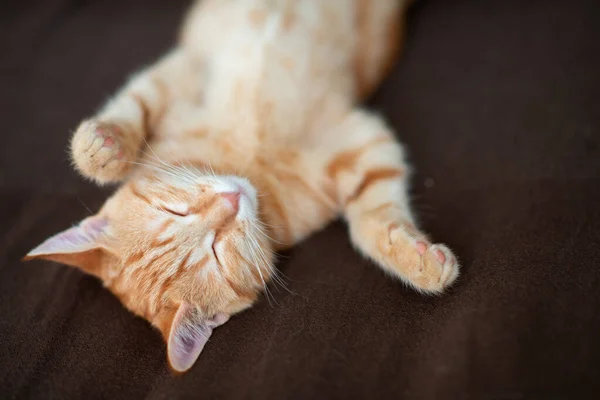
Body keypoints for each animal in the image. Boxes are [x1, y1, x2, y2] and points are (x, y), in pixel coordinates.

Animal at [24, 0, 460, 374]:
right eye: (218, 253)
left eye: (174, 210)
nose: (231, 200)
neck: (244, 162)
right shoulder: (358, 141)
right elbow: (369, 217)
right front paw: (416, 259)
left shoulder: (183, 69)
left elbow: (134, 103)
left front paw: (101, 147)